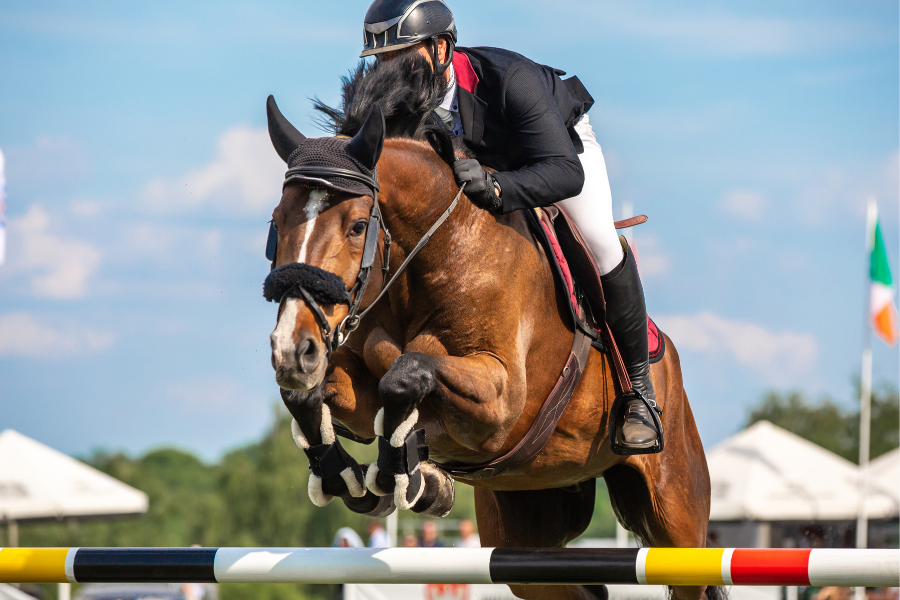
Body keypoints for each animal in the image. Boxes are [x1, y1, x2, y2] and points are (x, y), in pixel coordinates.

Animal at [264, 57, 716, 600]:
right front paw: (353, 474)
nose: (292, 351)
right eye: (275, 223)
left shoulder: (500, 401)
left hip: (677, 515)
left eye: (356, 226)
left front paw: (406, 475)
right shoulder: (365, 389)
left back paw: (639, 416)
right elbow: (317, 396)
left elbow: (407, 373)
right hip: (526, 528)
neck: (435, 250)